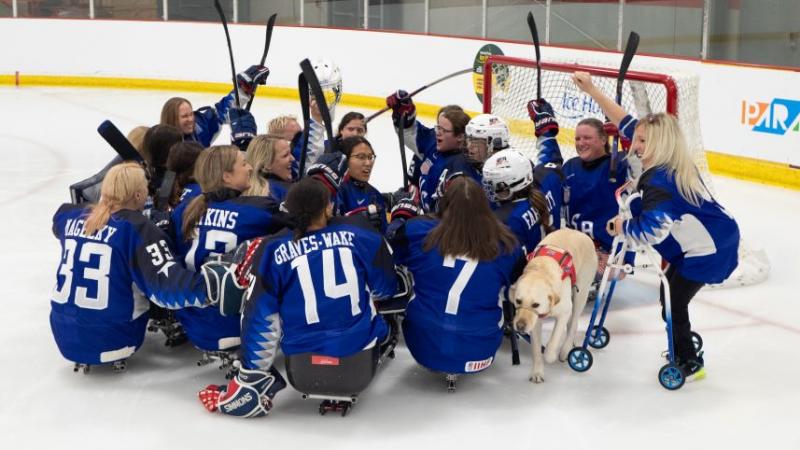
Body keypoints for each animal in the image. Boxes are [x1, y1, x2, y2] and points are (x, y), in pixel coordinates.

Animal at [516, 229, 596, 384]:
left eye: (536, 304)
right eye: (518, 301)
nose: (520, 326)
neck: (542, 270)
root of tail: (581, 233)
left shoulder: (564, 312)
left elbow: (553, 341)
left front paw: (550, 354)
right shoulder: (536, 322)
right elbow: (536, 350)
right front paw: (537, 372)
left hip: (581, 294)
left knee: (574, 322)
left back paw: (565, 350)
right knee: (572, 324)